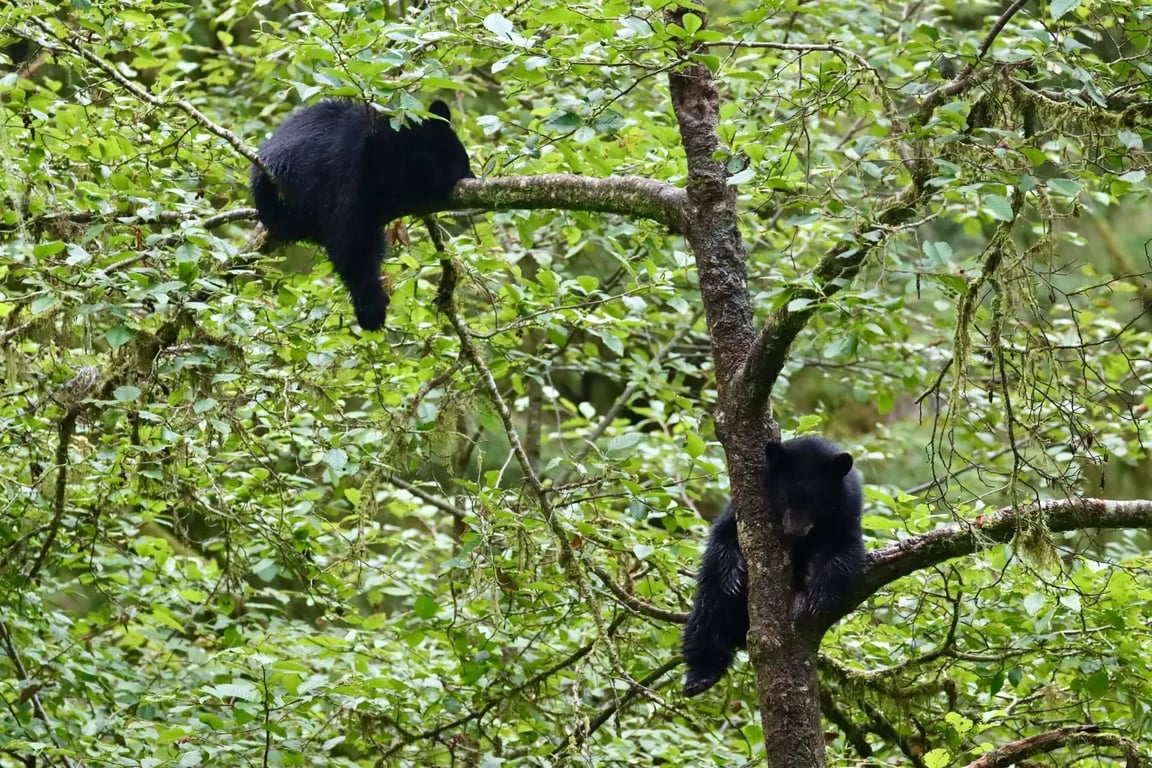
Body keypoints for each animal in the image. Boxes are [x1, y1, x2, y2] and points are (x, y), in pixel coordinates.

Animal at [681, 435, 865, 697]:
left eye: (815, 503)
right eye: (785, 498)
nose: (793, 531)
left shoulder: (846, 515)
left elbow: (845, 551)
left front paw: (820, 591)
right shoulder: (740, 510)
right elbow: (723, 537)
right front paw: (733, 576)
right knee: (708, 615)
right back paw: (700, 676)